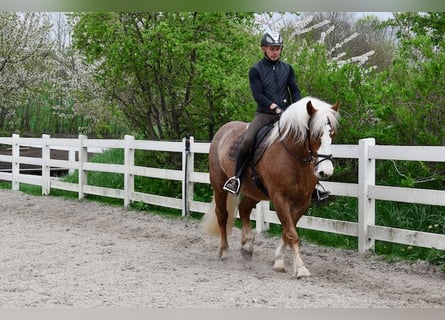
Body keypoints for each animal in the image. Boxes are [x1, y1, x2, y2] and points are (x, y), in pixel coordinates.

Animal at [201, 95, 340, 278]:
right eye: (315, 134)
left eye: (332, 134)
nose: (326, 171)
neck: (293, 157)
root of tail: (224, 129)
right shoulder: (280, 199)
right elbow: (291, 233)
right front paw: (300, 267)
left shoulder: (302, 202)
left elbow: (287, 232)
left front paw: (278, 260)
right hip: (218, 185)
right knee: (222, 215)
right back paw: (224, 251)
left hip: (255, 192)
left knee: (244, 209)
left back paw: (248, 246)